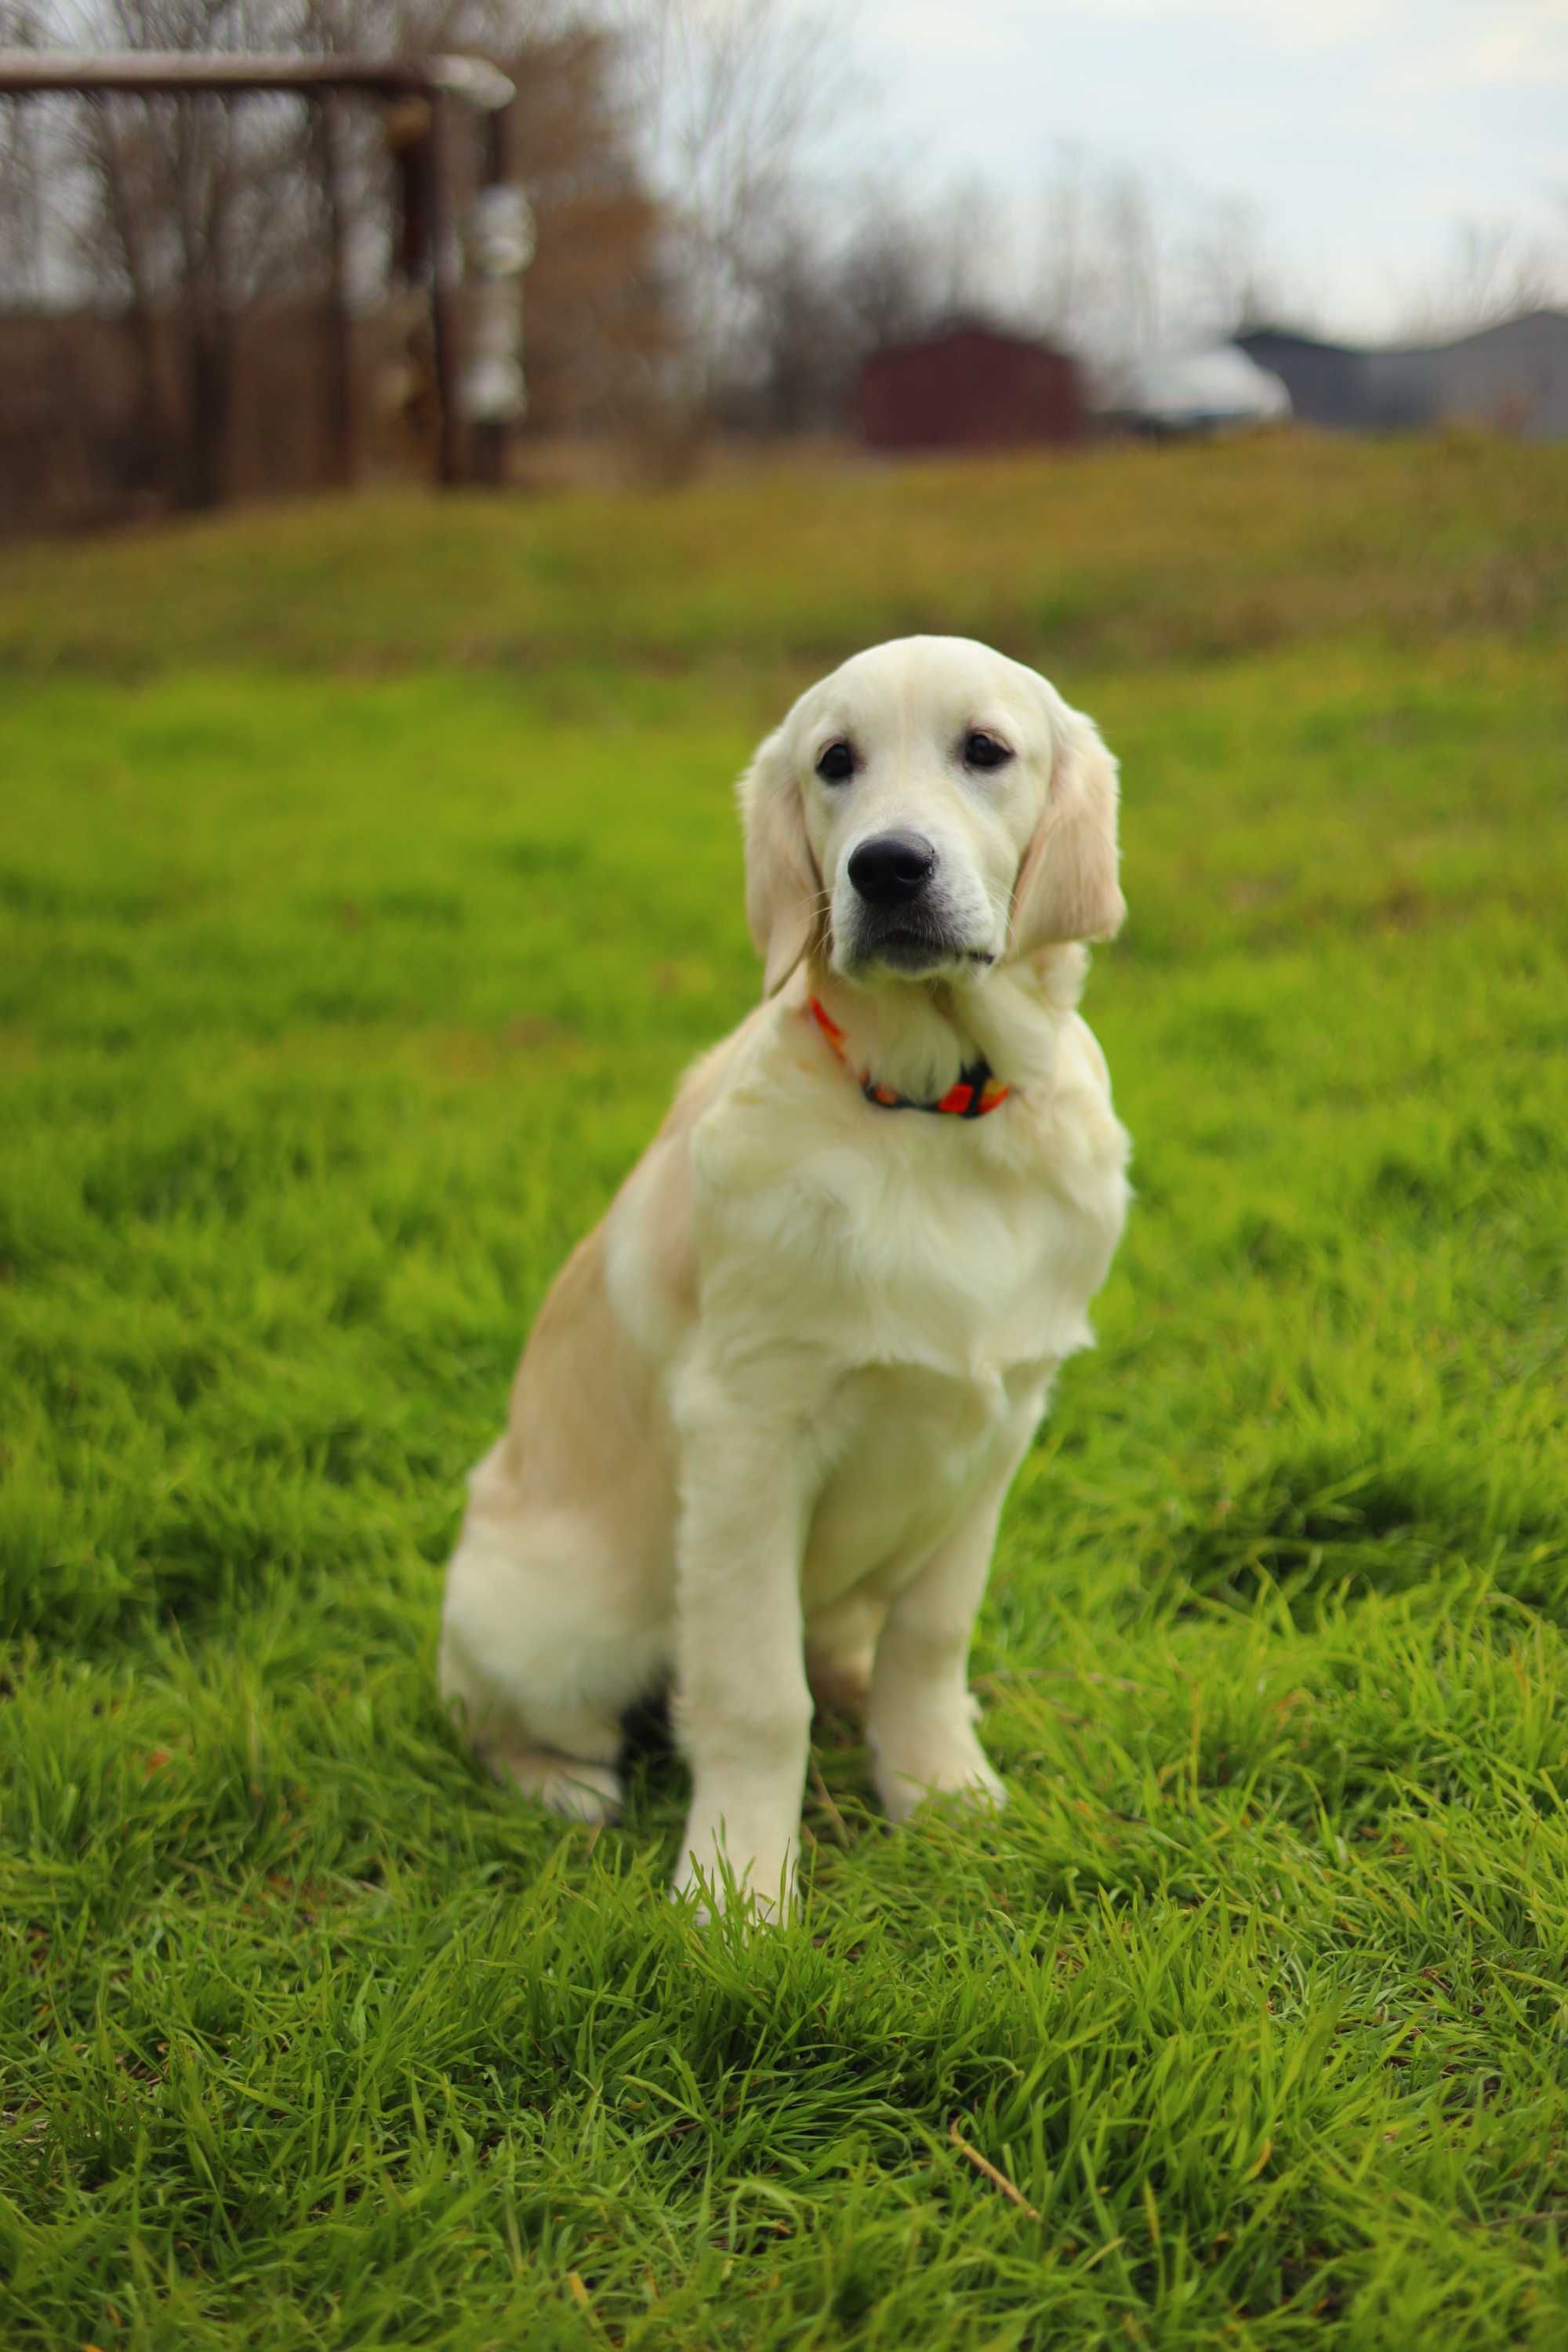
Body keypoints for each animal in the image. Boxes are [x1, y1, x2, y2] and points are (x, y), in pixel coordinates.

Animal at [439, 640, 1128, 1910]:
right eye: (834, 763)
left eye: (985, 750)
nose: (888, 868)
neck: (930, 1109)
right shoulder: (748, 1431)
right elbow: (756, 1696)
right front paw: (736, 1888)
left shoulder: (1003, 1418)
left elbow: (930, 1635)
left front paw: (940, 1790)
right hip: (548, 1620)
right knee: (500, 1713)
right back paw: (564, 1785)